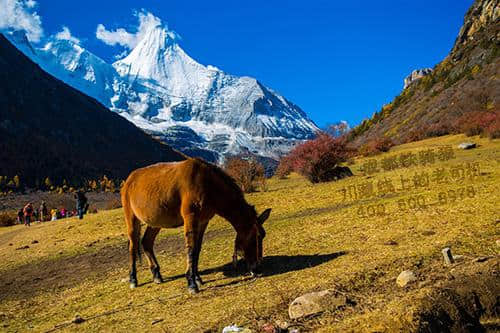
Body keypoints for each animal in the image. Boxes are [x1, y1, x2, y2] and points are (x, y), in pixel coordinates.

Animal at [121, 157, 272, 292]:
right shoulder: (191, 219)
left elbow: (197, 249)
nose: (257, 268)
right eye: (256, 236)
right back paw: (133, 279)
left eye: (263, 236)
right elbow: (191, 249)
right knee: (133, 246)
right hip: (131, 218)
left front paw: (198, 278)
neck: (209, 185)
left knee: (146, 242)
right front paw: (191, 283)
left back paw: (156, 275)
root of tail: (129, 180)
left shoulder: (203, 221)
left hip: (155, 222)